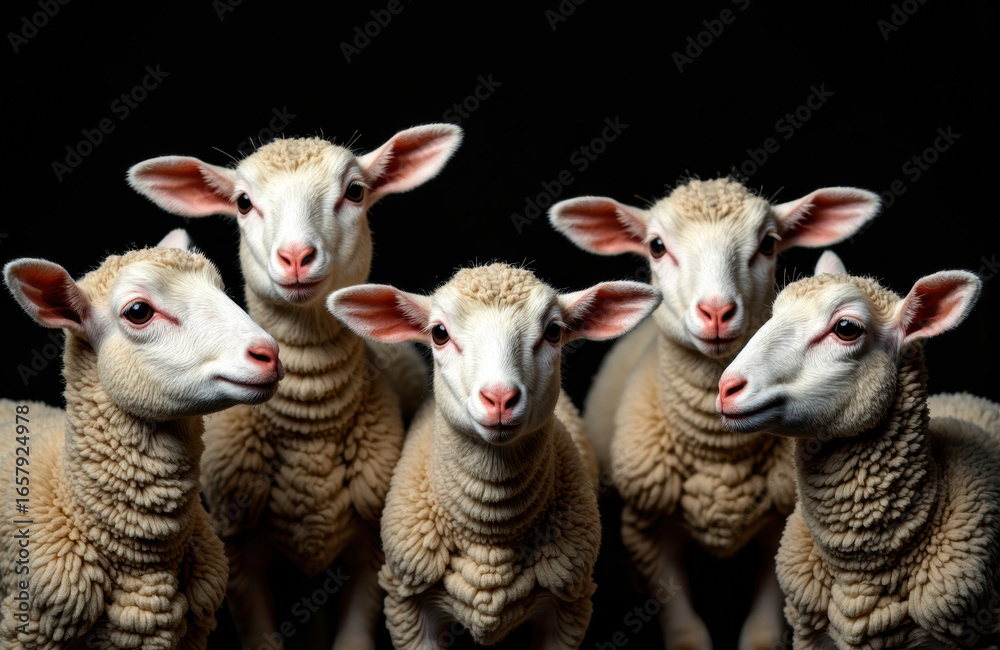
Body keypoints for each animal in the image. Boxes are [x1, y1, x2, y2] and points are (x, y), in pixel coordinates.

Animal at [127, 125, 462, 648]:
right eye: (243, 202)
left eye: (355, 192)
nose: (296, 257)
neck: (310, 421)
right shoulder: (239, 546)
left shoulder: (371, 545)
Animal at [327, 262, 662, 649]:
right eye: (439, 333)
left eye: (553, 331)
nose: (500, 398)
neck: (491, 537)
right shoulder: (407, 608)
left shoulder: (568, 607)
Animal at [549, 177, 881, 649]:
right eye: (656, 246)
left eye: (768, 243)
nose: (717, 312)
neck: (720, 456)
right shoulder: (645, 527)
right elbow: (679, 617)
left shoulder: (782, 520)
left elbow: (765, 619)